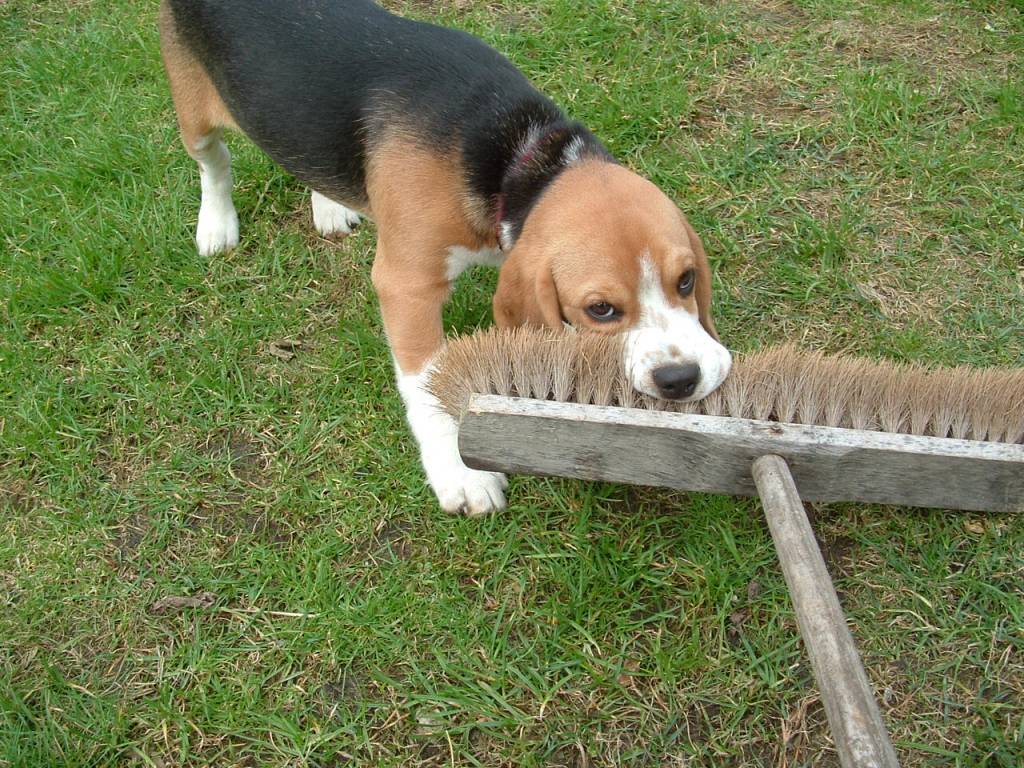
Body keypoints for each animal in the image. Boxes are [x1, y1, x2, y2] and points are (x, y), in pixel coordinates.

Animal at [159, 1, 733, 518]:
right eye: (601, 310)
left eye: (687, 280)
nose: (680, 379)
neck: (516, 158)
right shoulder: (407, 285)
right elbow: (428, 381)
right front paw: (460, 474)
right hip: (194, 113)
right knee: (214, 164)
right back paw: (216, 225)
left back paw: (328, 203)